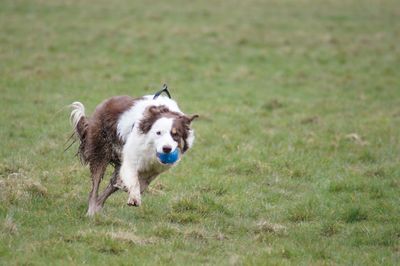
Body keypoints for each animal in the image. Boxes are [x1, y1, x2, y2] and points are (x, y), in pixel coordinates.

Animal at [71, 87, 199, 216]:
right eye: (158, 132)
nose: (166, 149)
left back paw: (98, 206)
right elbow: (134, 181)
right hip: (100, 150)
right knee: (95, 187)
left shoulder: (154, 169)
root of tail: (102, 105)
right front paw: (134, 198)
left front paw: (128, 188)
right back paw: (91, 212)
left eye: (175, 134)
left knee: (111, 185)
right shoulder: (131, 157)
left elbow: (143, 183)